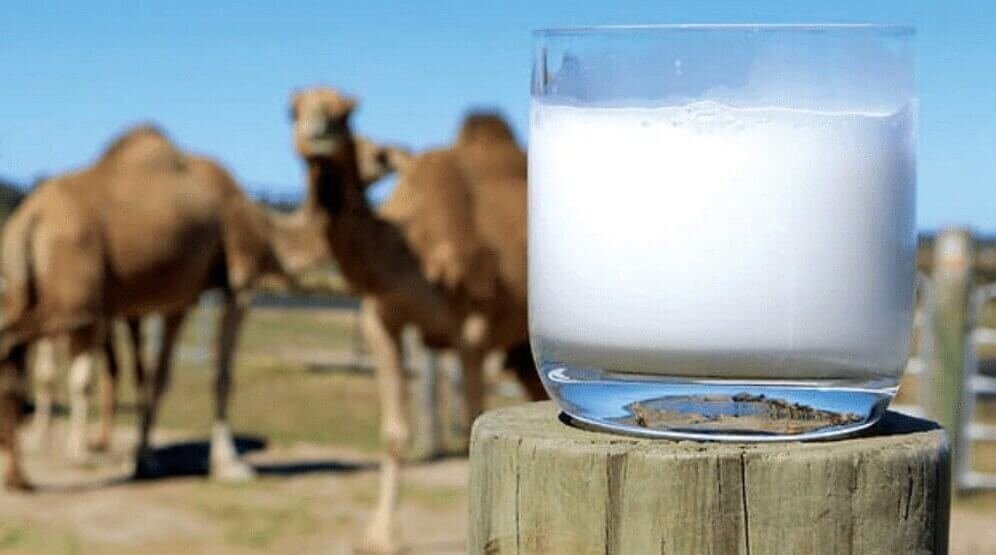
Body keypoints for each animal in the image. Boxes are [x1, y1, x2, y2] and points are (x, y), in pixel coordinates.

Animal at [19, 133, 410, 465]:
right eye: (374, 151)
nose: (396, 154)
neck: (266, 232)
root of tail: (31, 215)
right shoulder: (239, 285)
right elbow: (221, 372)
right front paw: (227, 459)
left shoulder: (179, 299)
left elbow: (159, 375)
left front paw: (146, 454)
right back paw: (70, 446)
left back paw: (49, 439)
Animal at [289, 87, 545, 553]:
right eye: (292, 110)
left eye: (346, 113)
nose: (318, 134)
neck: (413, 251)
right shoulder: (382, 320)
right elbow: (394, 433)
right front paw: (380, 536)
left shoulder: (473, 332)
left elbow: (470, 425)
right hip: (520, 349)